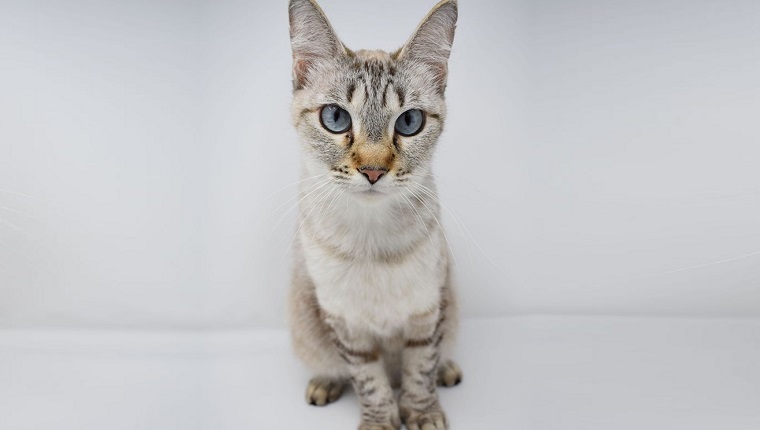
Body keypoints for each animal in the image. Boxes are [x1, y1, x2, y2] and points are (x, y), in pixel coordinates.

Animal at [286, 0, 460, 428]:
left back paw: (447, 372)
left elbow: (420, 369)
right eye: (335, 118)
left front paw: (422, 413)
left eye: (410, 122)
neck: (372, 239)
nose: (373, 171)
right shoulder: (345, 322)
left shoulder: (427, 309)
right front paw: (381, 421)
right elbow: (370, 381)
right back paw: (324, 384)